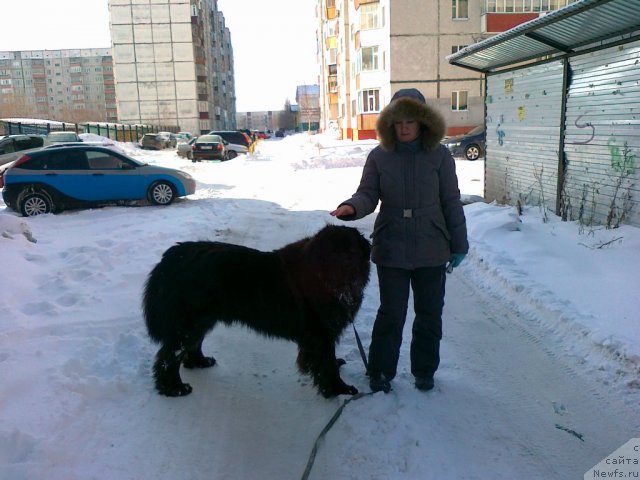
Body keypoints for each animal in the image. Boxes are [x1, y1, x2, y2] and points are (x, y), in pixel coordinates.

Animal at [140, 225, 370, 398]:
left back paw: (199, 363)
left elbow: (325, 360)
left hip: (202, 320)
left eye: (351, 251)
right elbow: (327, 363)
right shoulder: (321, 332)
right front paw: (338, 389)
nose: (346, 271)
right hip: (190, 321)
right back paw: (174, 388)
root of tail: (173, 255)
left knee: (192, 344)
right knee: (169, 356)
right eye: (329, 255)